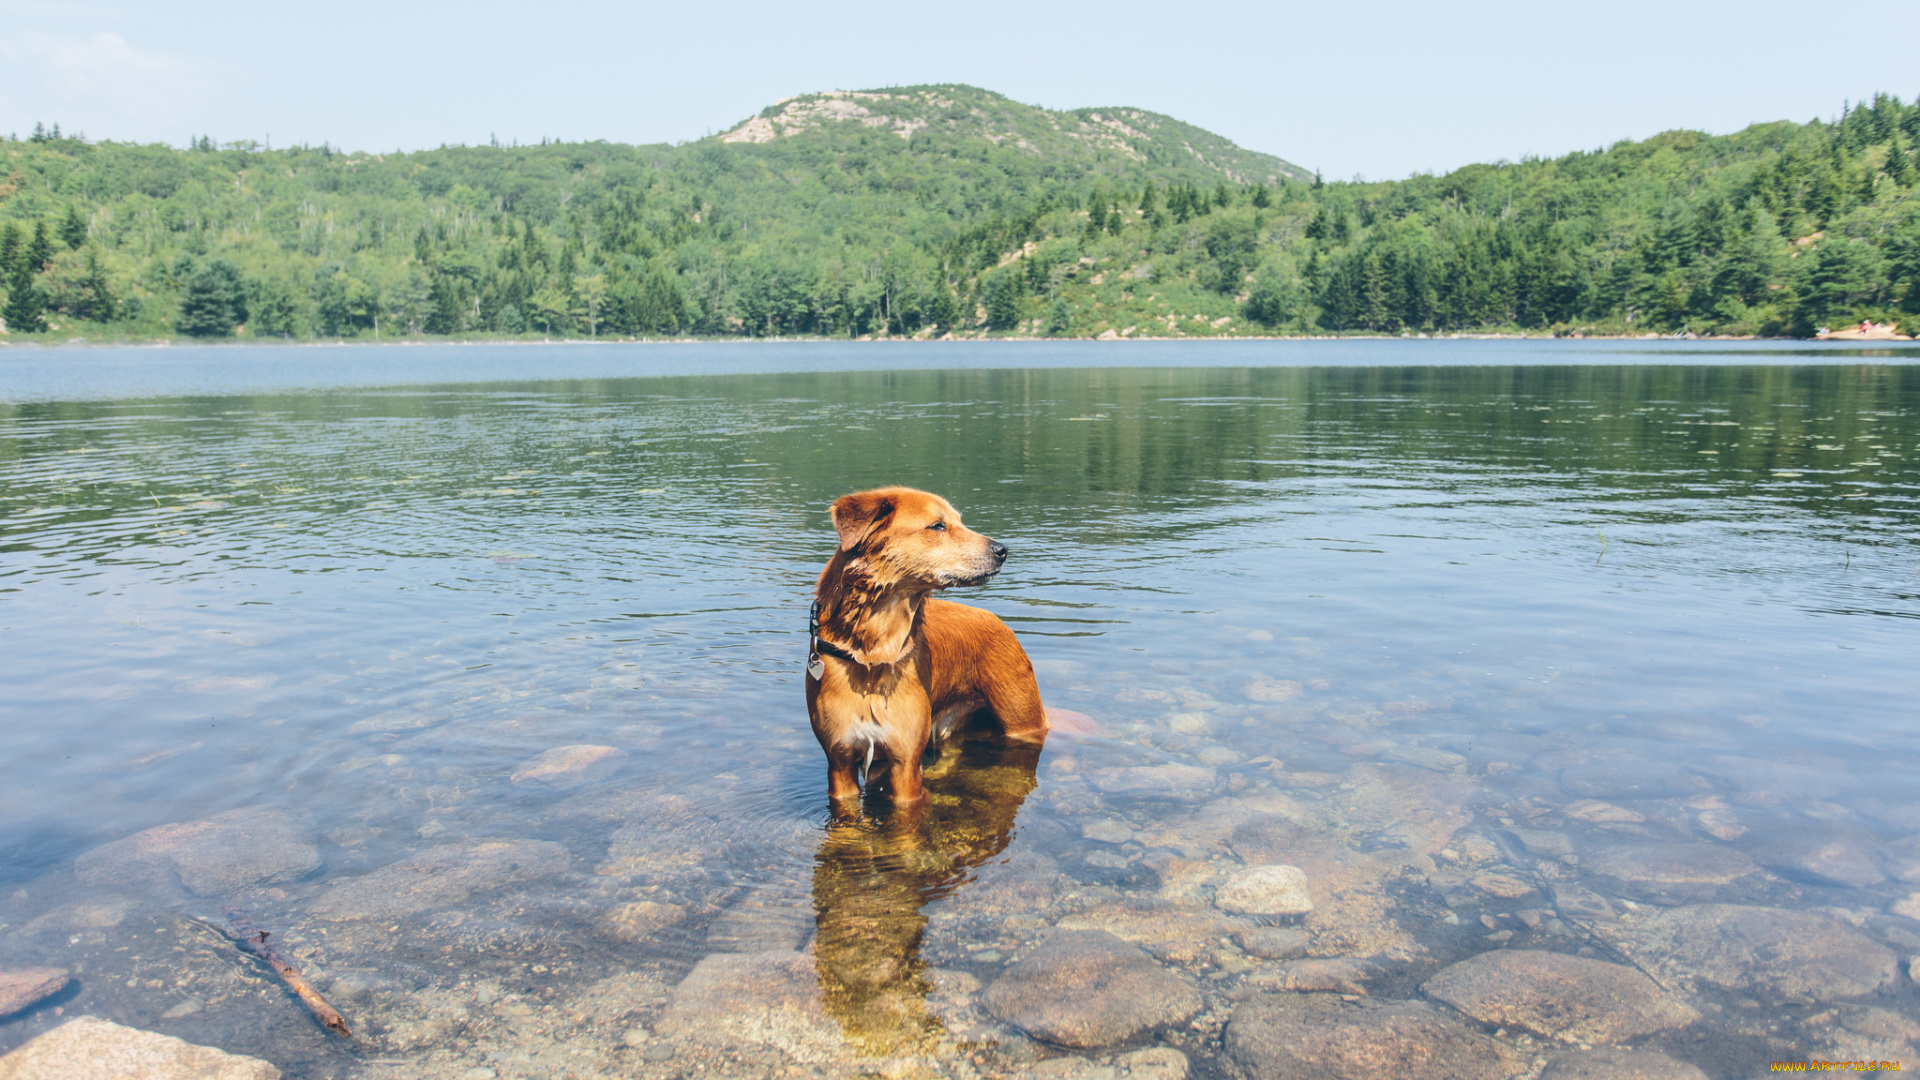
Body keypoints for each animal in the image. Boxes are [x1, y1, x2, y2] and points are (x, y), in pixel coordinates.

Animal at [806, 484, 1059, 803]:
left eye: (959, 521)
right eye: (938, 526)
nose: (1002, 550)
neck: (873, 654)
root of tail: (998, 621)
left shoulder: (905, 761)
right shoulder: (839, 762)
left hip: (1022, 720)